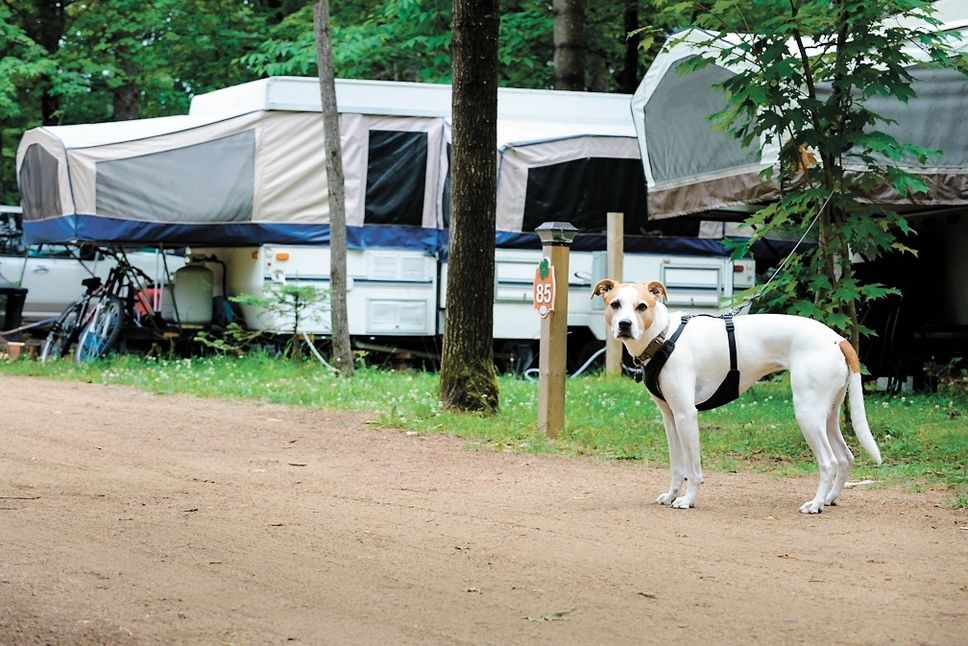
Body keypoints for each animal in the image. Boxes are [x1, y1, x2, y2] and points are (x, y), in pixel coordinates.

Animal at [592, 278, 880, 516]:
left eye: (641, 306)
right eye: (615, 304)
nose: (625, 325)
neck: (664, 336)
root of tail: (837, 339)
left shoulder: (686, 416)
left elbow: (693, 469)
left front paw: (687, 500)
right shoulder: (670, 418)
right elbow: (677, 466)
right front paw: (672, 495)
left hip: (808, 414)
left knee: (828, 462)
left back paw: (816, 504)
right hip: (827, 415)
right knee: (845, 457)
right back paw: (830, 499)